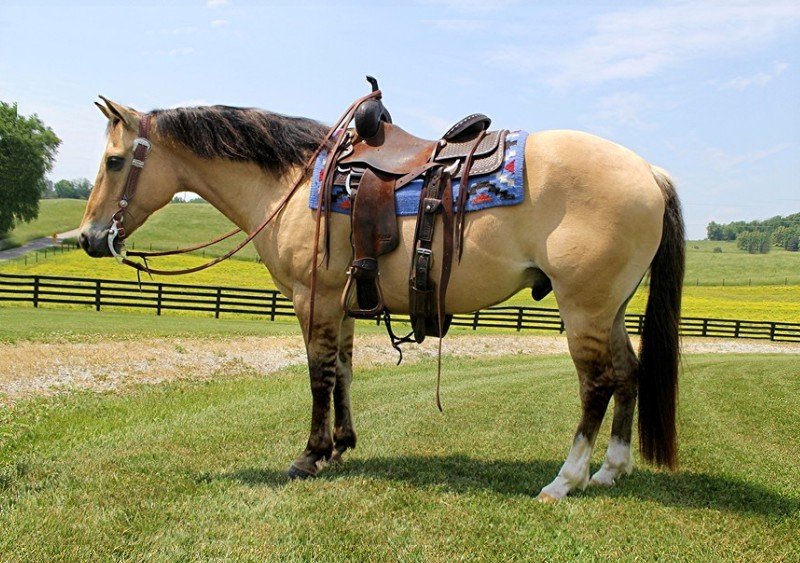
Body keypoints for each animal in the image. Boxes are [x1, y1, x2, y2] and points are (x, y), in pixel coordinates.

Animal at [79, 96, 684, 501]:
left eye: (113, 161)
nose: (88, 238)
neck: (291, 183)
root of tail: (649, 172)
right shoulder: (340, 302)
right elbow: (343, 371)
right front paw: (342, 445)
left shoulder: (312, 298)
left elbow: (318, 375)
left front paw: (310, 456)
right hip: (610, 309)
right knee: (628, 374)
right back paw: (611, 469)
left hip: (583, 308)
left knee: (597, 383)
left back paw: (566, 479)